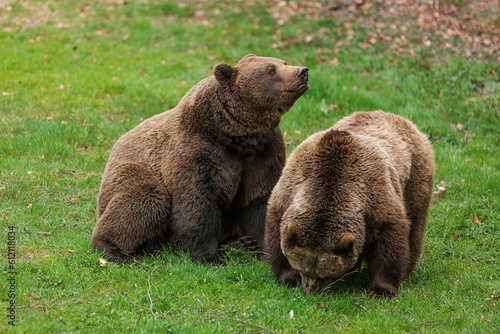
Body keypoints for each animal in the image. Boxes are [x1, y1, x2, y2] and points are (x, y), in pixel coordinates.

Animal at [90, 54, 308, 264]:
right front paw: (209, 257)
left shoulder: (263, 154)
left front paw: (263, 250)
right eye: (271, 70)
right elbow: (197, 203)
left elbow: (259, 201)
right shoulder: (197, 152)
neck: (236, 136)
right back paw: (113, 249)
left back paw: (238, 243)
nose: (302, 71)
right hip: (131, 172)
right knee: (144, 199)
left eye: (283, 62)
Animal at [266, 111, 434, 298]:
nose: (311, 289)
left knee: (414, 224)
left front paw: (382, 290)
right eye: (302, 268)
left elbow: (388, 241)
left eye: (324, 274)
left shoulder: (375, 194)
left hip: (415, 177)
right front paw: (287, 277)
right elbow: (277, 231)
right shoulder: (292, 185)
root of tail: (402, 120)